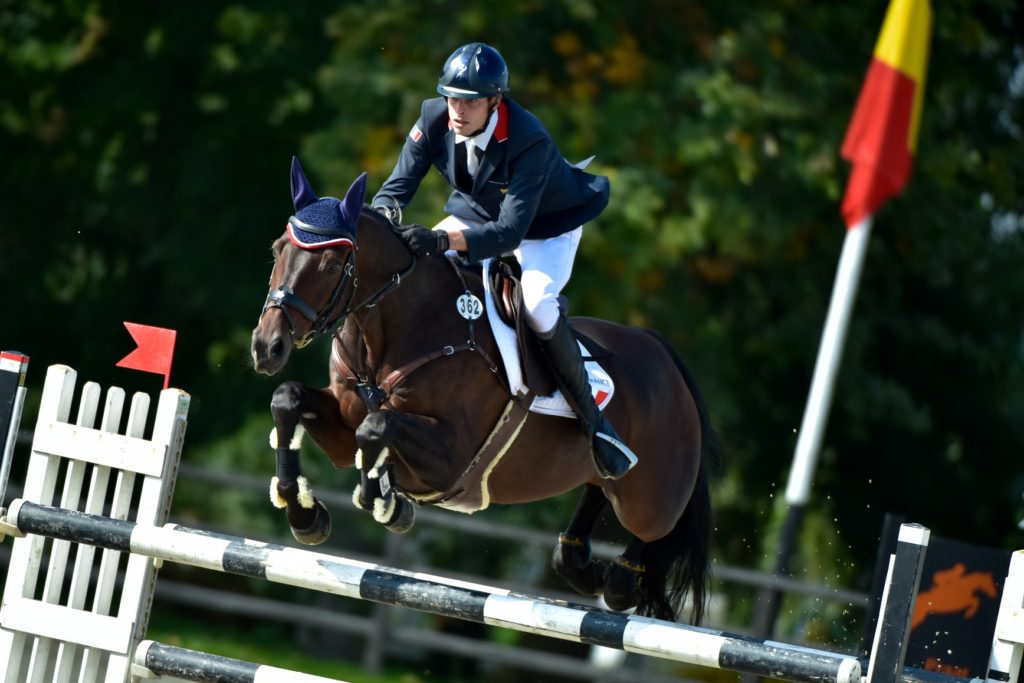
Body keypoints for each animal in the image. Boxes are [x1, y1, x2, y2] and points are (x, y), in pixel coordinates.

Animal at [250, 158, 716, 626]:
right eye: (276, 250)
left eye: (331, 266)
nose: (267, 347)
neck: (390, 330)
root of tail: (659, 350)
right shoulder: (344, 432)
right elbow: (289, 400)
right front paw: (304, 512)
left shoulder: (451, 457)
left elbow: (377, 427)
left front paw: (387, 502)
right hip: (608, 477)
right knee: (597, 490)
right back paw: (581, 565)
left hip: (651, 498)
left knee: (660, 528)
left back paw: (622, 579)